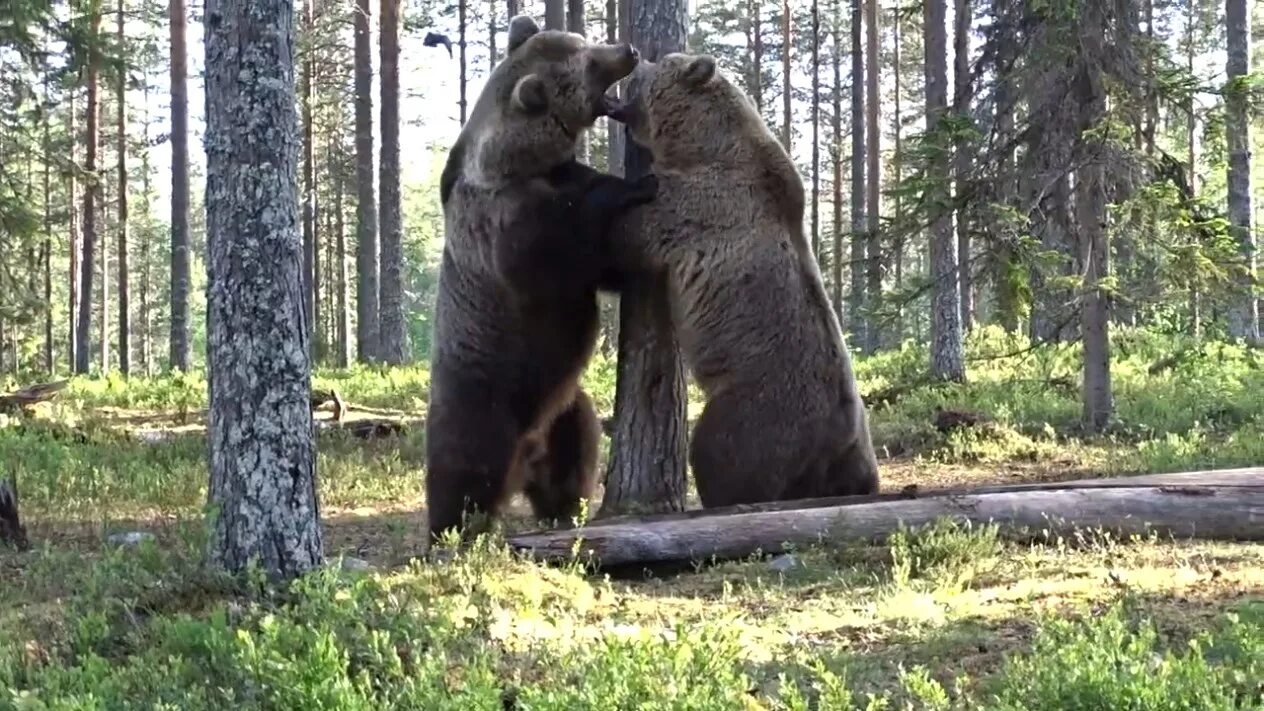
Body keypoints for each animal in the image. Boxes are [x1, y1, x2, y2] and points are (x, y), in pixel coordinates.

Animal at [427, 15, 662, 541]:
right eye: (590, 62)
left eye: (585, 41)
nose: (629, 49)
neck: (521, 162)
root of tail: (526, 453)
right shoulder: (502, 225)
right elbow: (563, 248)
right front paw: (638, 185)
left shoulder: (561, 174)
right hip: (482, 398)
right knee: (463, 469)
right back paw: (452, 531)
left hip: (564, 409)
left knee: (577, 450)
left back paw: (566, 507)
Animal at [604, 52, 879, 506]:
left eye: (661, 63)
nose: (638, 58)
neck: (698, 144)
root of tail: (832, 445)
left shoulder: (700, 204)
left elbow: (626, 238)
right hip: (856, 450)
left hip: (757, 410)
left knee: (717, 451)